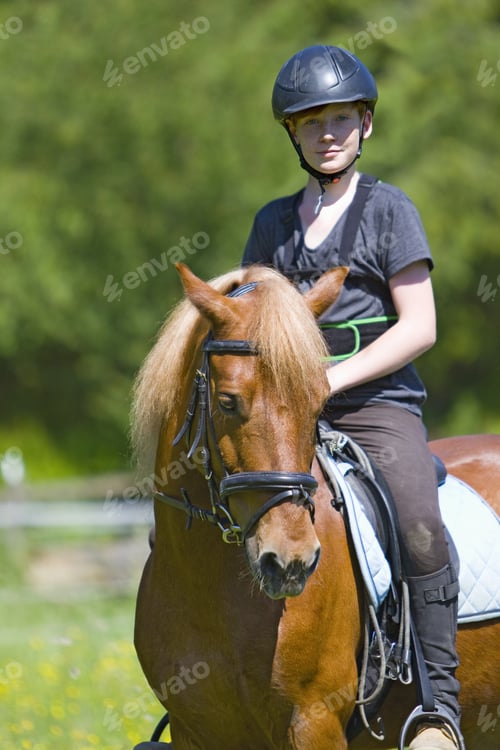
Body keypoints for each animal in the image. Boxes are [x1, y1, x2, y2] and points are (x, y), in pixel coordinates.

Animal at [132, 263, 500, 750]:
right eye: (227, 401)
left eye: (319, 401)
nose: (291, 561)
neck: (214, 590)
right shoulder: (196, 729)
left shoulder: (313, 721)